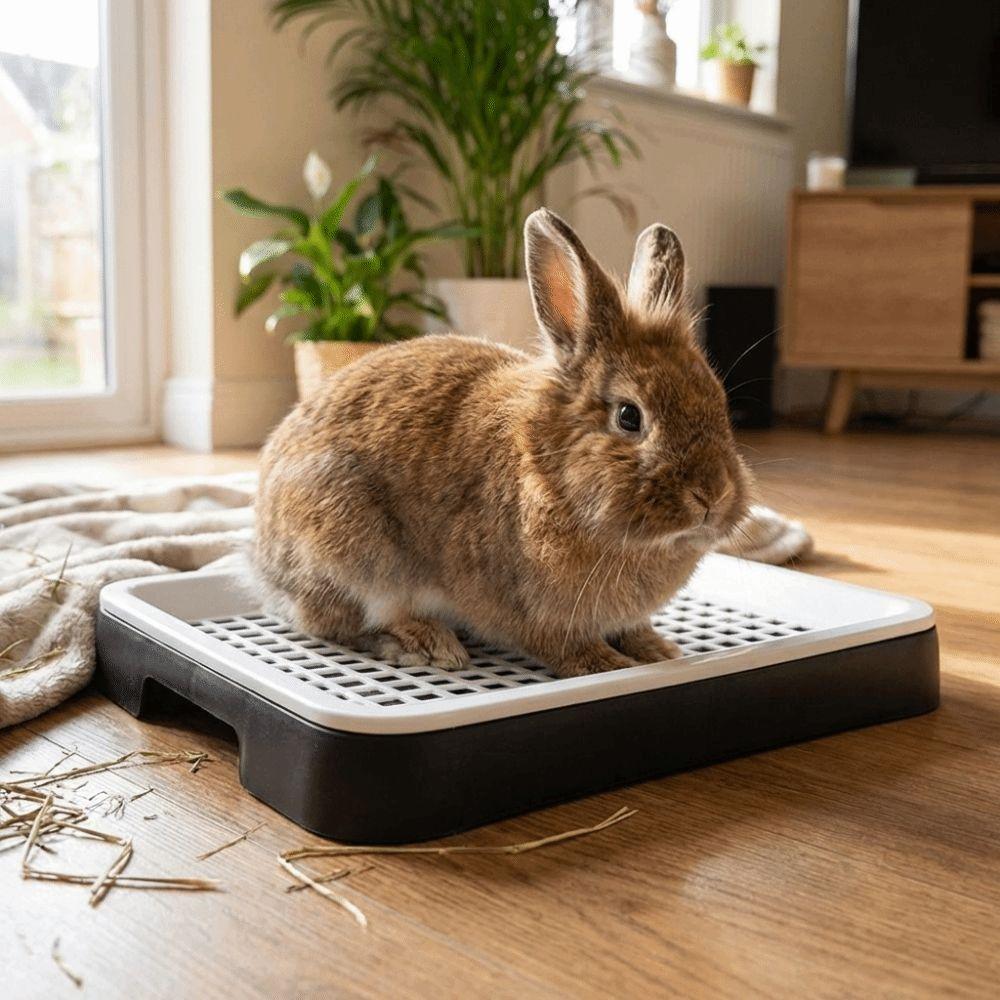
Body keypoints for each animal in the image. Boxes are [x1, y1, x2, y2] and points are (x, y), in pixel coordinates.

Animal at [254, 208, 753, 678]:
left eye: (718, 400)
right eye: (629, 417)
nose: (713, 495)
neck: (551, 476)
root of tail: (264, 563)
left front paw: (657, 650)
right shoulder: (530, 609)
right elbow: (563, 646)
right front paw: (608, 666)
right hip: (354, 554)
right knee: (350, 619)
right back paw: (430, 644)